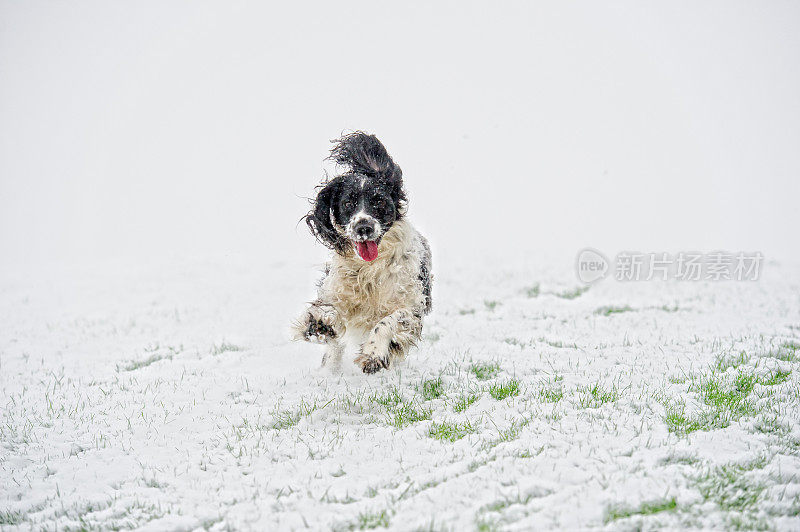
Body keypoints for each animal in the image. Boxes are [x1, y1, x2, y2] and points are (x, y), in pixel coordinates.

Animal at [292, 132, 434, 374]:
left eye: (379, 201)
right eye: (348, 203)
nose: (363, 227)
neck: (369, 269)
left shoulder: (411, 306)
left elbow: (389, 321)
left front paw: (373, 354)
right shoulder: (337, 289)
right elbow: (328, 308)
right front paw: (319, 324)